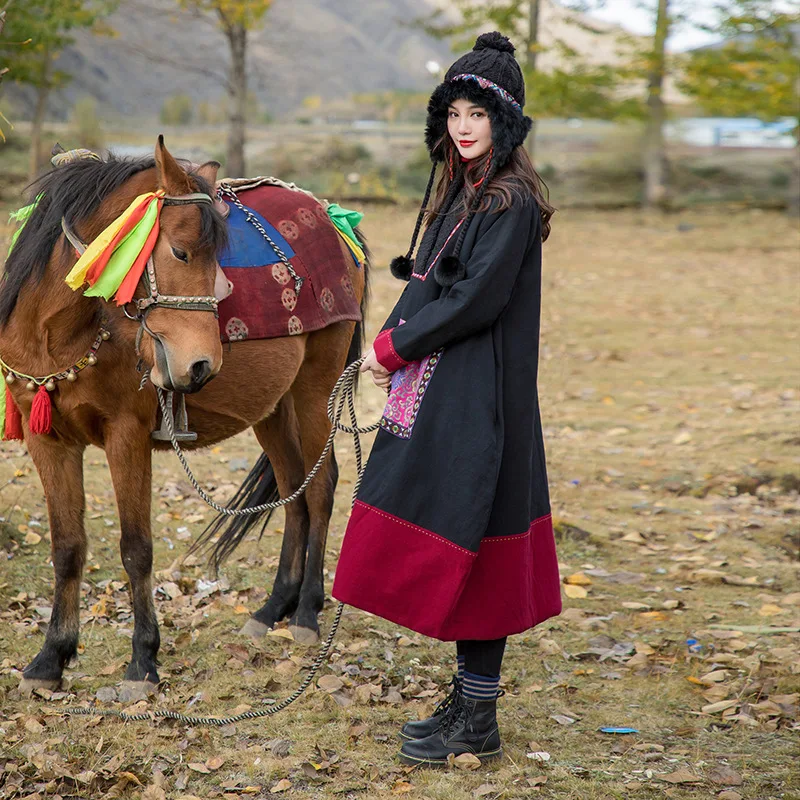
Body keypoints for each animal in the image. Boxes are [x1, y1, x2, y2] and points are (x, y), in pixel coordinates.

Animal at [0, 141, 368, 696]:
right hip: (272, 405)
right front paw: (50, 659)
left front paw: (142, 661)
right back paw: (272, 608)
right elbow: (67, 547)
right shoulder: (48, 440)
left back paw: (306, 613)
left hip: (316, 386)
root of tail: (334, 220)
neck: (56, 331)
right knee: (293, 491)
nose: (200, 366)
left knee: (321, 487)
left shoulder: (126, 436)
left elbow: (136, 549)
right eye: (180, 252)